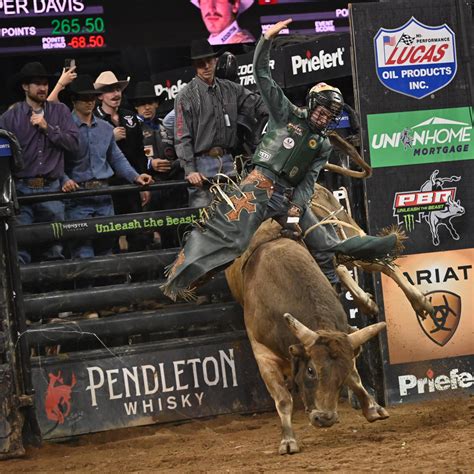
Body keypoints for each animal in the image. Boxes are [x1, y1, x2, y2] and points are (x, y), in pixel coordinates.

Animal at [226, 224, 388, 454]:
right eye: (311, 370)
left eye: (343, 372)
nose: (325, 418)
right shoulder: (262, 353)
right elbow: (283, 399)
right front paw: (287, 441)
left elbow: (355, 378)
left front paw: (372, 407)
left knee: (340, 267)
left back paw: (366, 301)